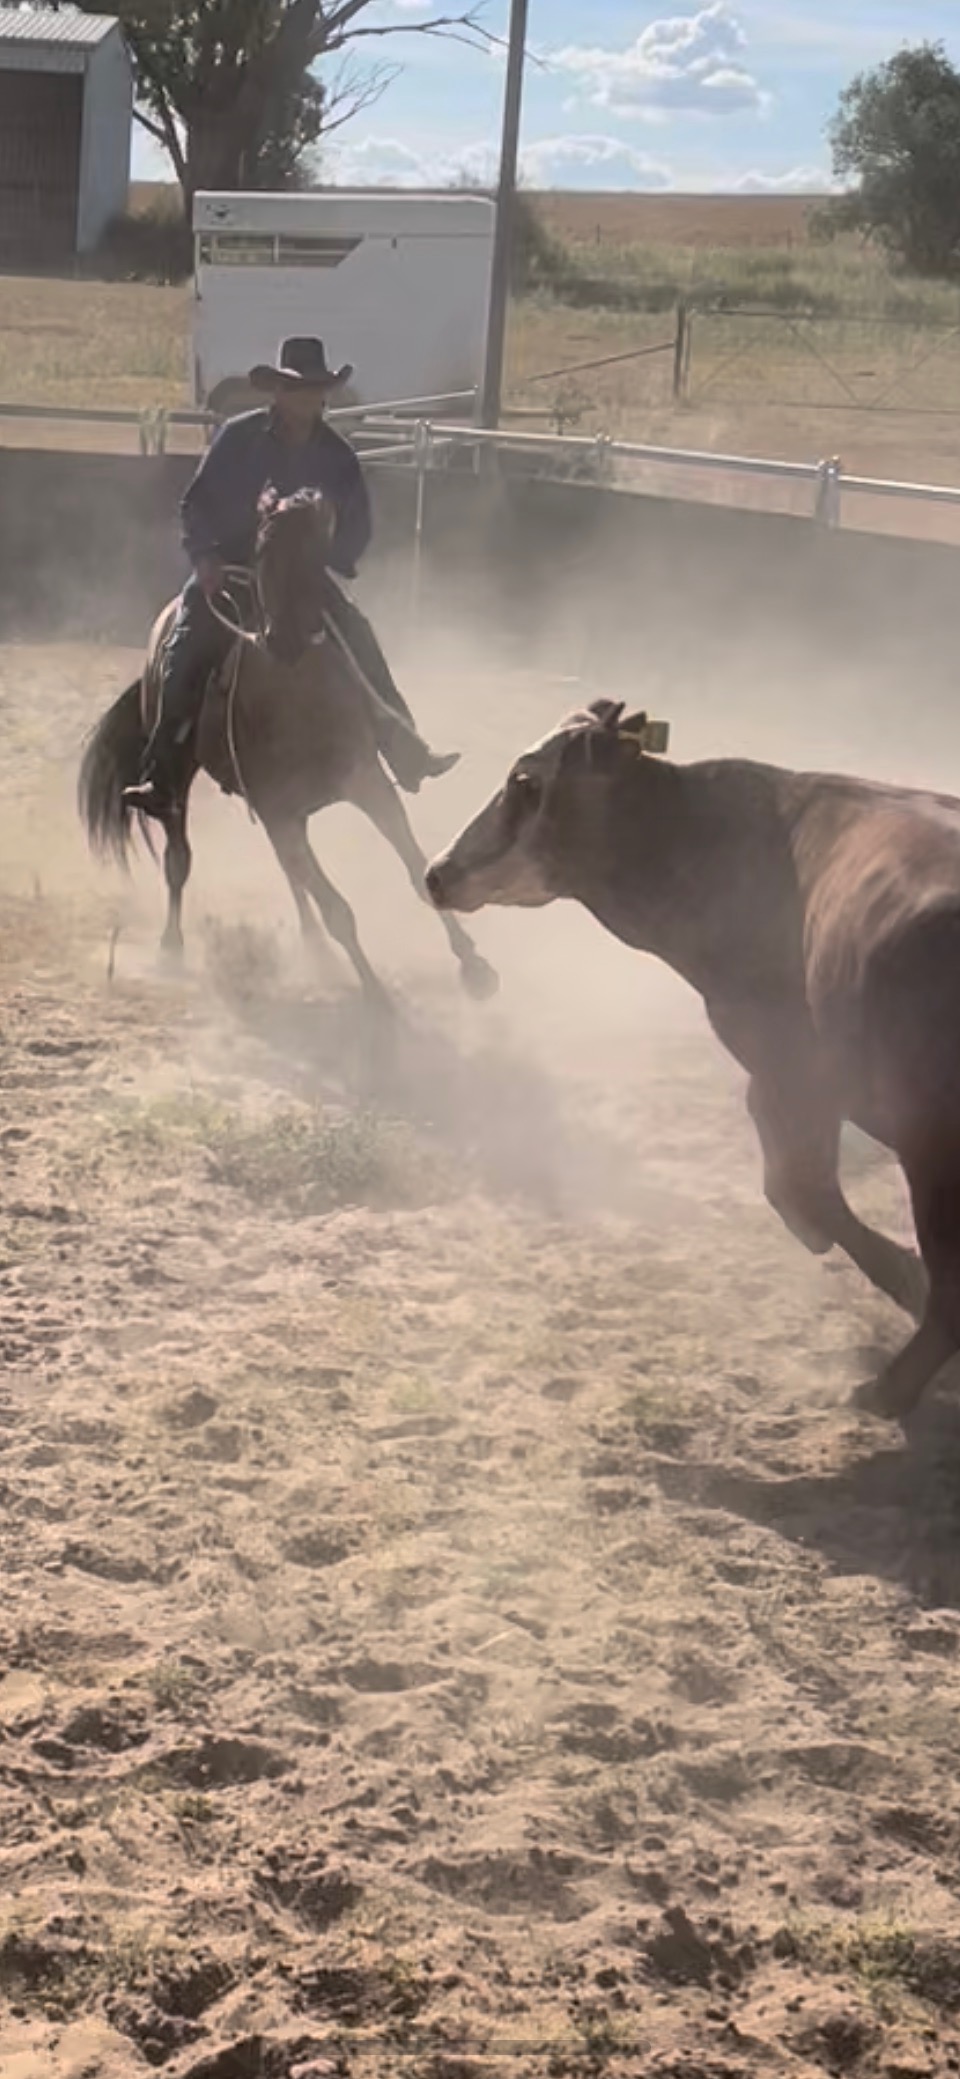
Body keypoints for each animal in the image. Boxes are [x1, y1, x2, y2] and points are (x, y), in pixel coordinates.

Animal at [78, 488, 498, 1004]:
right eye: (261, 551)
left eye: (315, 552)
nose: (284, 639)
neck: (299, 701)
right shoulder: (277, 809)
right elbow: (338, 909)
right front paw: (376, 994)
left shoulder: (368, 785)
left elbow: (416, 872)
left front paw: (475, 966)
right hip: (183, 781)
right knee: (180, 859)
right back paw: (172, 947)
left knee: (291, 875)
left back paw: (312, 945)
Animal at [425, 699, 960, 1422]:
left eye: (524, 781)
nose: (437, 872)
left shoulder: (789, 1069)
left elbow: (800, 1188)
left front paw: (902, 1275)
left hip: (932, 1144)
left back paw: (887, 1389)